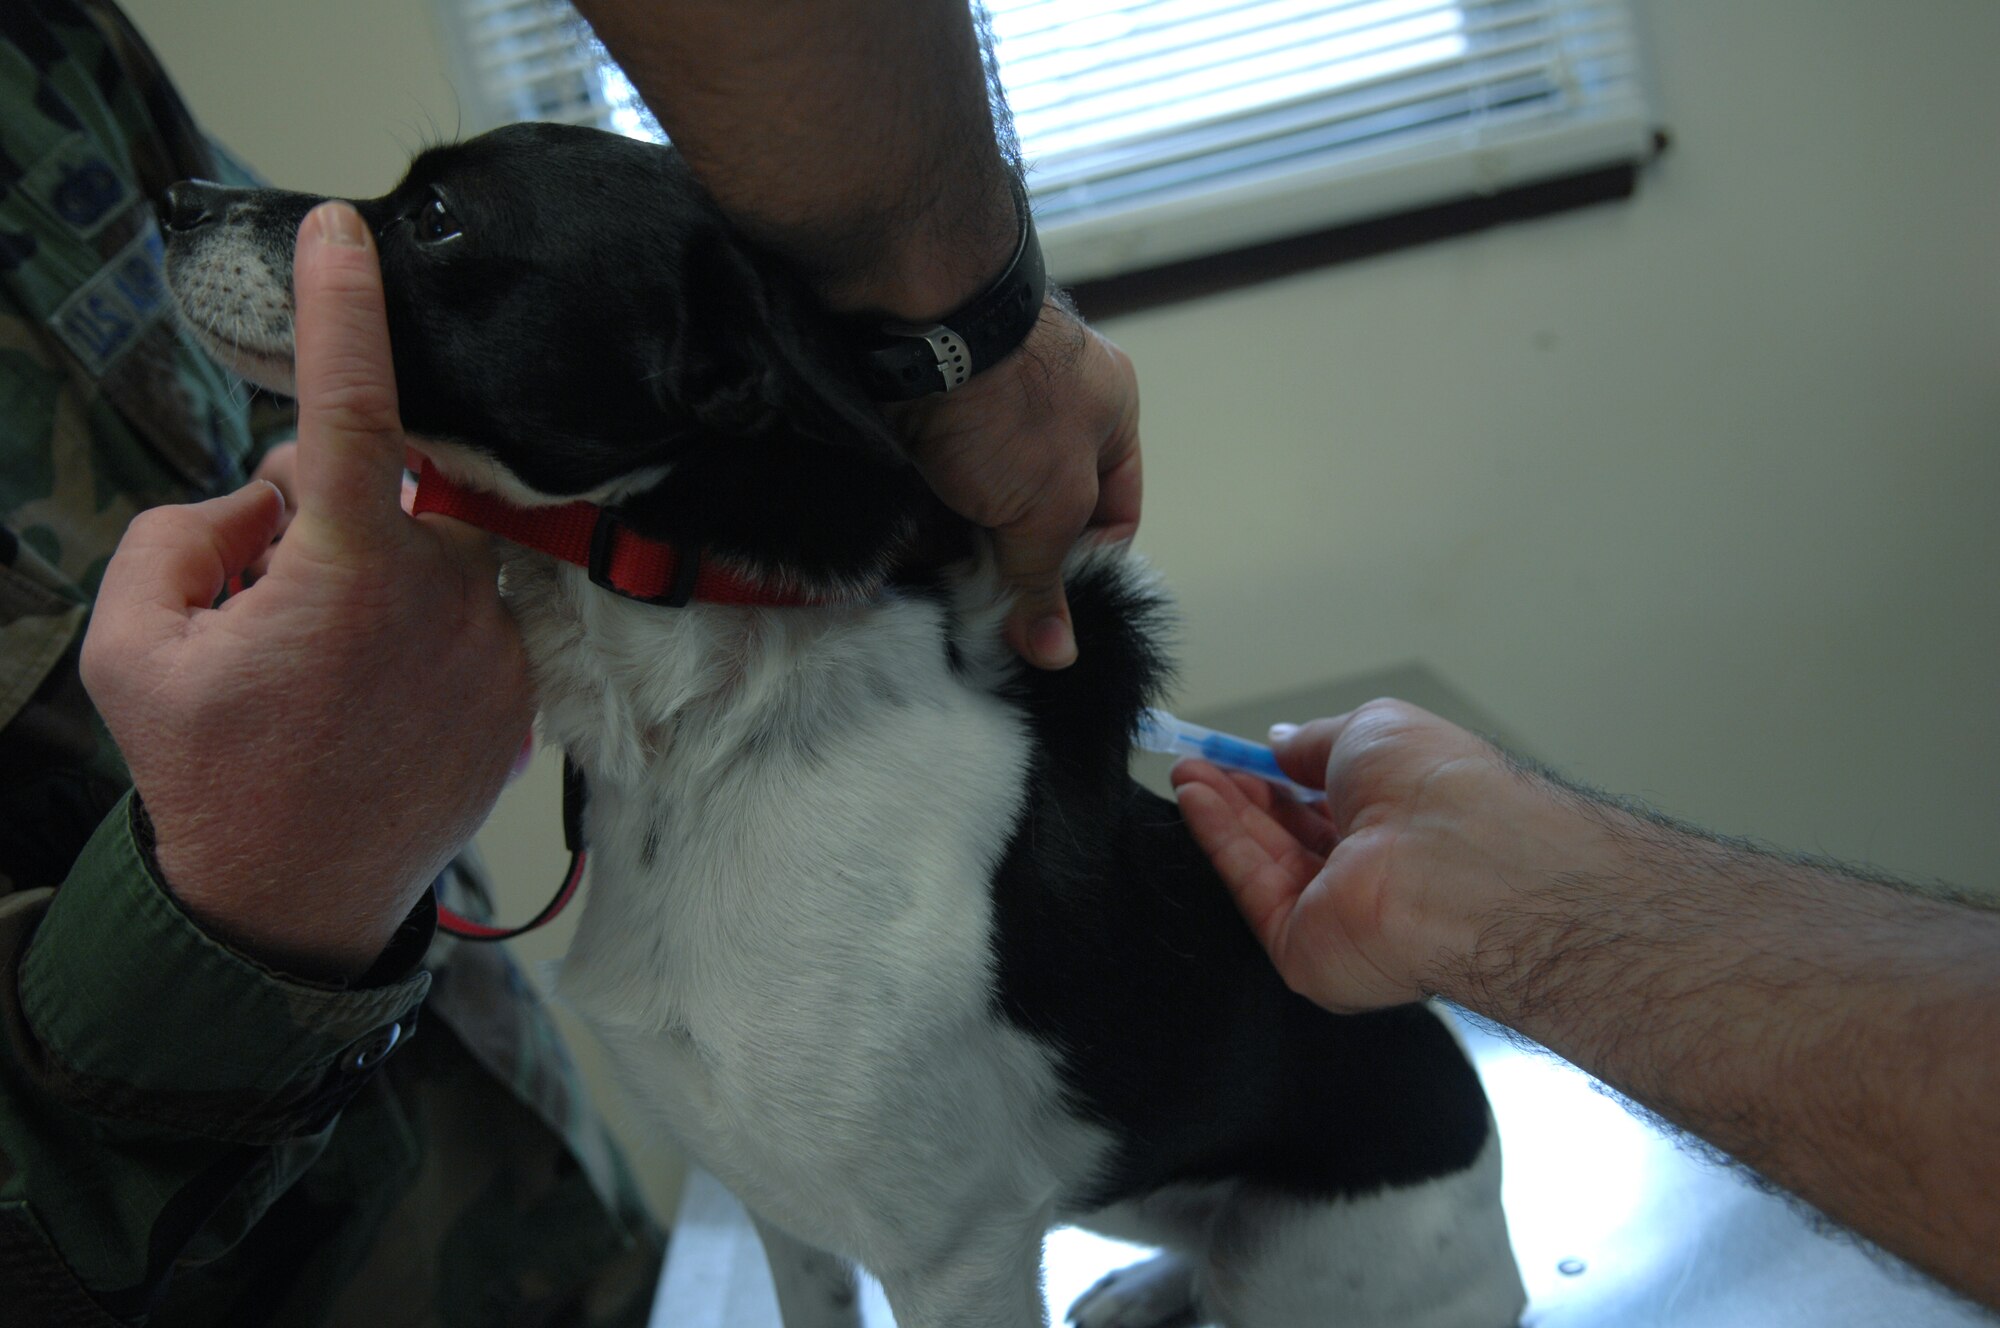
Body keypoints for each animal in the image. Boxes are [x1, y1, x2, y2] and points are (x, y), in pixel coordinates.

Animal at [164, 122, 1520, 1328]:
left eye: (438, 218)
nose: (176, 197)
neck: (702, 749)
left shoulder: (957, 1255)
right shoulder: (785, 1212)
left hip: (1296, 1263)